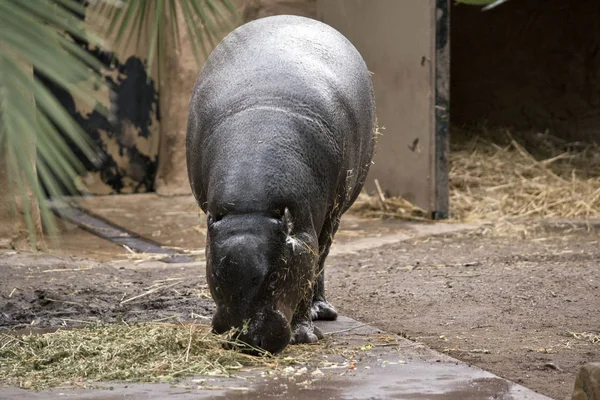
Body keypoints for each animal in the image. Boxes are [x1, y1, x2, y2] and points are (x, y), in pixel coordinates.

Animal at [188, 14, 376, 354]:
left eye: (276, 277)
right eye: (217, 273)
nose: (246, 337)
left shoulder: (305, 236)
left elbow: (307, 272)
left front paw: (305, 334)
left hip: (333, 216)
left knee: (321, 260)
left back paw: (321, 311)